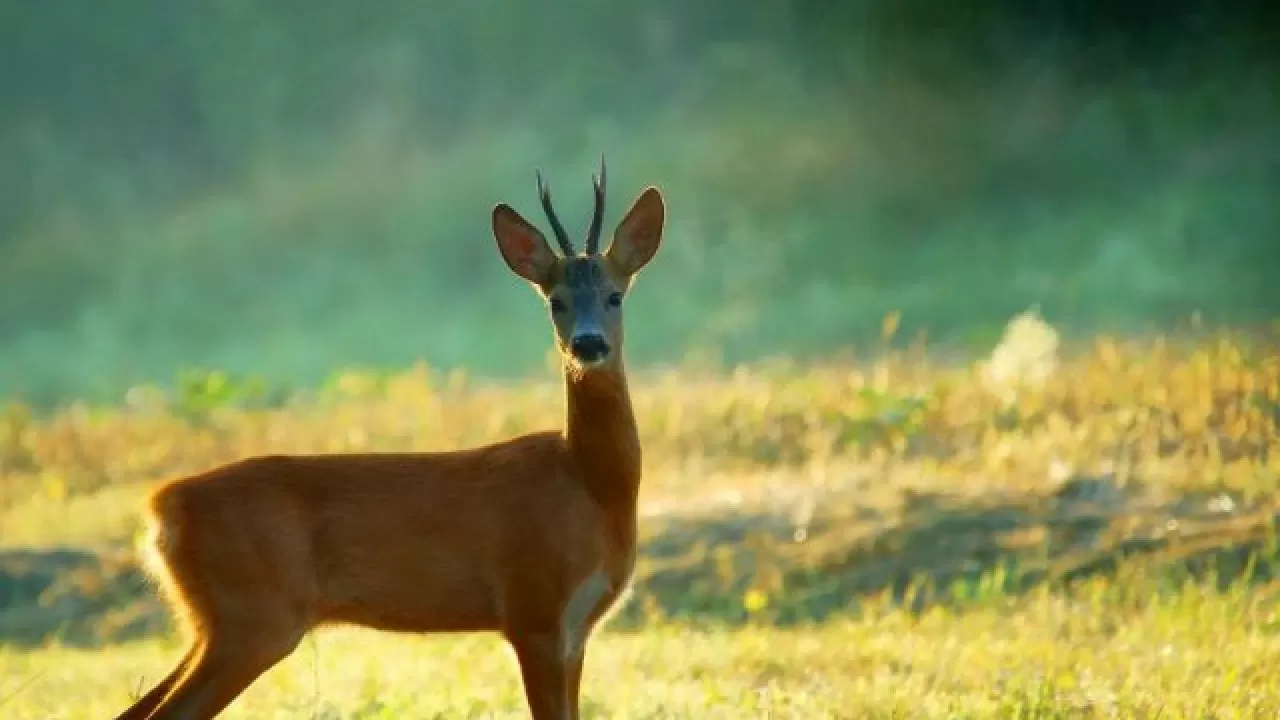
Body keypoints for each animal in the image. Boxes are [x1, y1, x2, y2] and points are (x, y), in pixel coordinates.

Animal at [112, 156, 670, 717]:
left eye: (615, 295)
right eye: (556, 302)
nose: (588, 344)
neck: (590, 485)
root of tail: (161, 509)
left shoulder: (573, 630)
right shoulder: (532, 608)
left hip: (215, 623)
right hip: (254, 618)